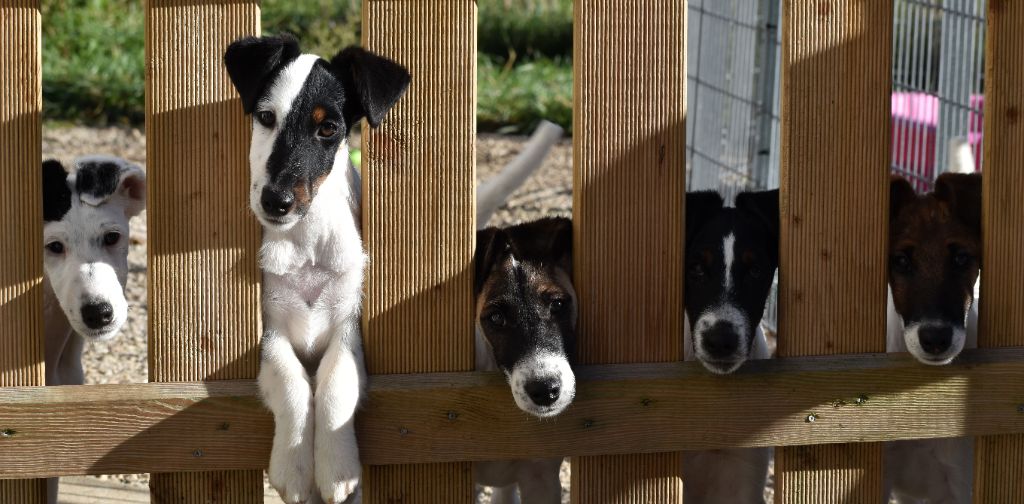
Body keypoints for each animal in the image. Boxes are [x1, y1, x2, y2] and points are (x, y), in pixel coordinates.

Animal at [226, 35, 409, 504]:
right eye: (266, 117)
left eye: (328, 129)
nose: (276, 202)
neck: (306, 244)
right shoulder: (270, 332)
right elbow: (294, 385)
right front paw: (294, 468)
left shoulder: (349, 327)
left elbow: (333, 386)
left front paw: (336, 467)